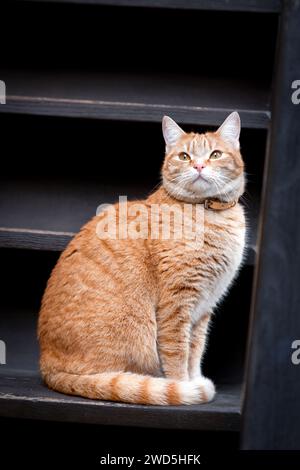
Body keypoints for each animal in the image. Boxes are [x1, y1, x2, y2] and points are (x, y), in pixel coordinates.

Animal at [38, 112, 246, 406]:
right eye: (184, 156)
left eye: (215, 154)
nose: (199, 165)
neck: (209, 214)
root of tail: (47, 367)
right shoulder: (177, 303)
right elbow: (177, 353)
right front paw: (183, 386)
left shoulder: (204, 307)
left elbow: (195, 350)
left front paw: (194, 379)